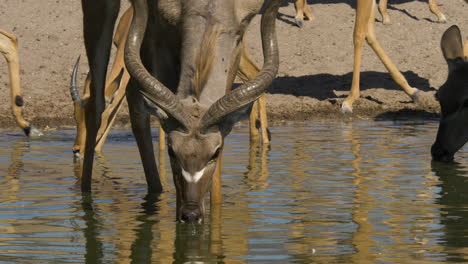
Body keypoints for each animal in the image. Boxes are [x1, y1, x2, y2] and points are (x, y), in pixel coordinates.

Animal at [79, 0, 282, 223]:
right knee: (97, 103)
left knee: (132, 93)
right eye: (171, 151)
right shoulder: (162, 33)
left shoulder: (238, 35)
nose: (191, 214)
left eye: (215, 152)